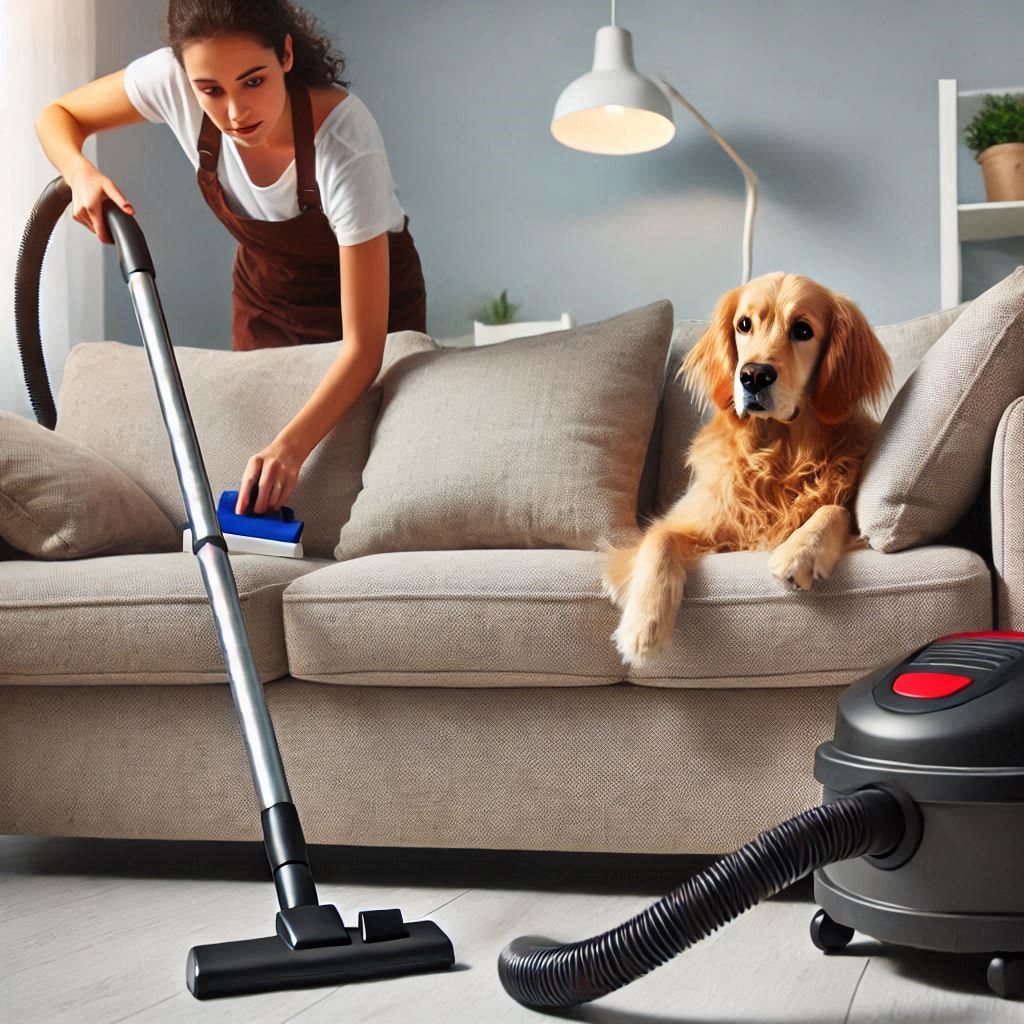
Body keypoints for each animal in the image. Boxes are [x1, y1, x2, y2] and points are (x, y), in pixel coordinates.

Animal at [602, 272, 892, 667]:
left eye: (803, 330)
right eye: (744, 324)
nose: (753, 376)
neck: (777, 453)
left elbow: (834, 509)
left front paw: (801, 549)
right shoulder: (696, 520)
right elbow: (658, 537)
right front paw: (643, 624)